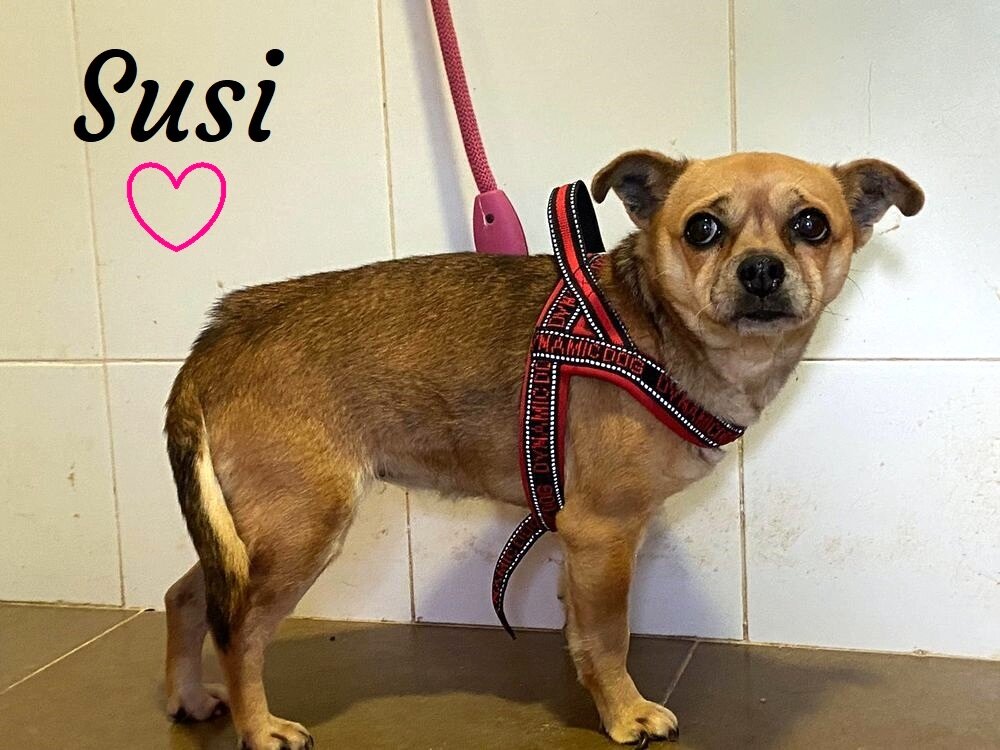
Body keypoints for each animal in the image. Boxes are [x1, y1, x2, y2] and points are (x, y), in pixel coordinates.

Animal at [162, 150, 923, 748]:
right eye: (703, 228)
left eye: (811, 225)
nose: (762, 271)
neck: (651, 331)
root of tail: (218, 336)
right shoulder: (603, 531)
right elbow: (611, 634)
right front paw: (626, 714)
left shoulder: (577, 538)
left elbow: (581, 630)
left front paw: (596, 689)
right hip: (301, 532)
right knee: (239, 631)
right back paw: (261, 728)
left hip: (243, 536)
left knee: (187, 595)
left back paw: (187, 697)